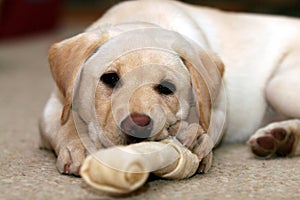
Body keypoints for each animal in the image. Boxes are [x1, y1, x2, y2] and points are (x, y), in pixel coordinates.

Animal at [39, 0, 300, 175]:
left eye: (166, 88)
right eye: (110, 78)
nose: (137, 125)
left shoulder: (217, 105)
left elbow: (209, 123)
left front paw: (194, 137)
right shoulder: (55, 104)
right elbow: (64, 125)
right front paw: (79, 147)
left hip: (277, 86)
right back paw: (281, 138)